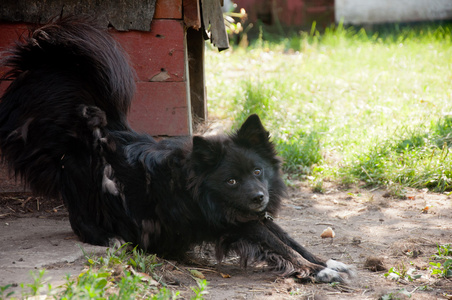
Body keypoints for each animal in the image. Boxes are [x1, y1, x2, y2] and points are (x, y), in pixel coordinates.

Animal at [0, 17, 352, 282]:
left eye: (258, 171)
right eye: (231, 181)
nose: (258, 197)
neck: (197, 185)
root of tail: (85, 131)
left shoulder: (251, 215)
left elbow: (288, 237)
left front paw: (325, 262)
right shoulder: (233, 222)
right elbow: (278, 244)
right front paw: (314, 271)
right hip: (93, 183)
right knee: (79, 222)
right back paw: (111, 238)